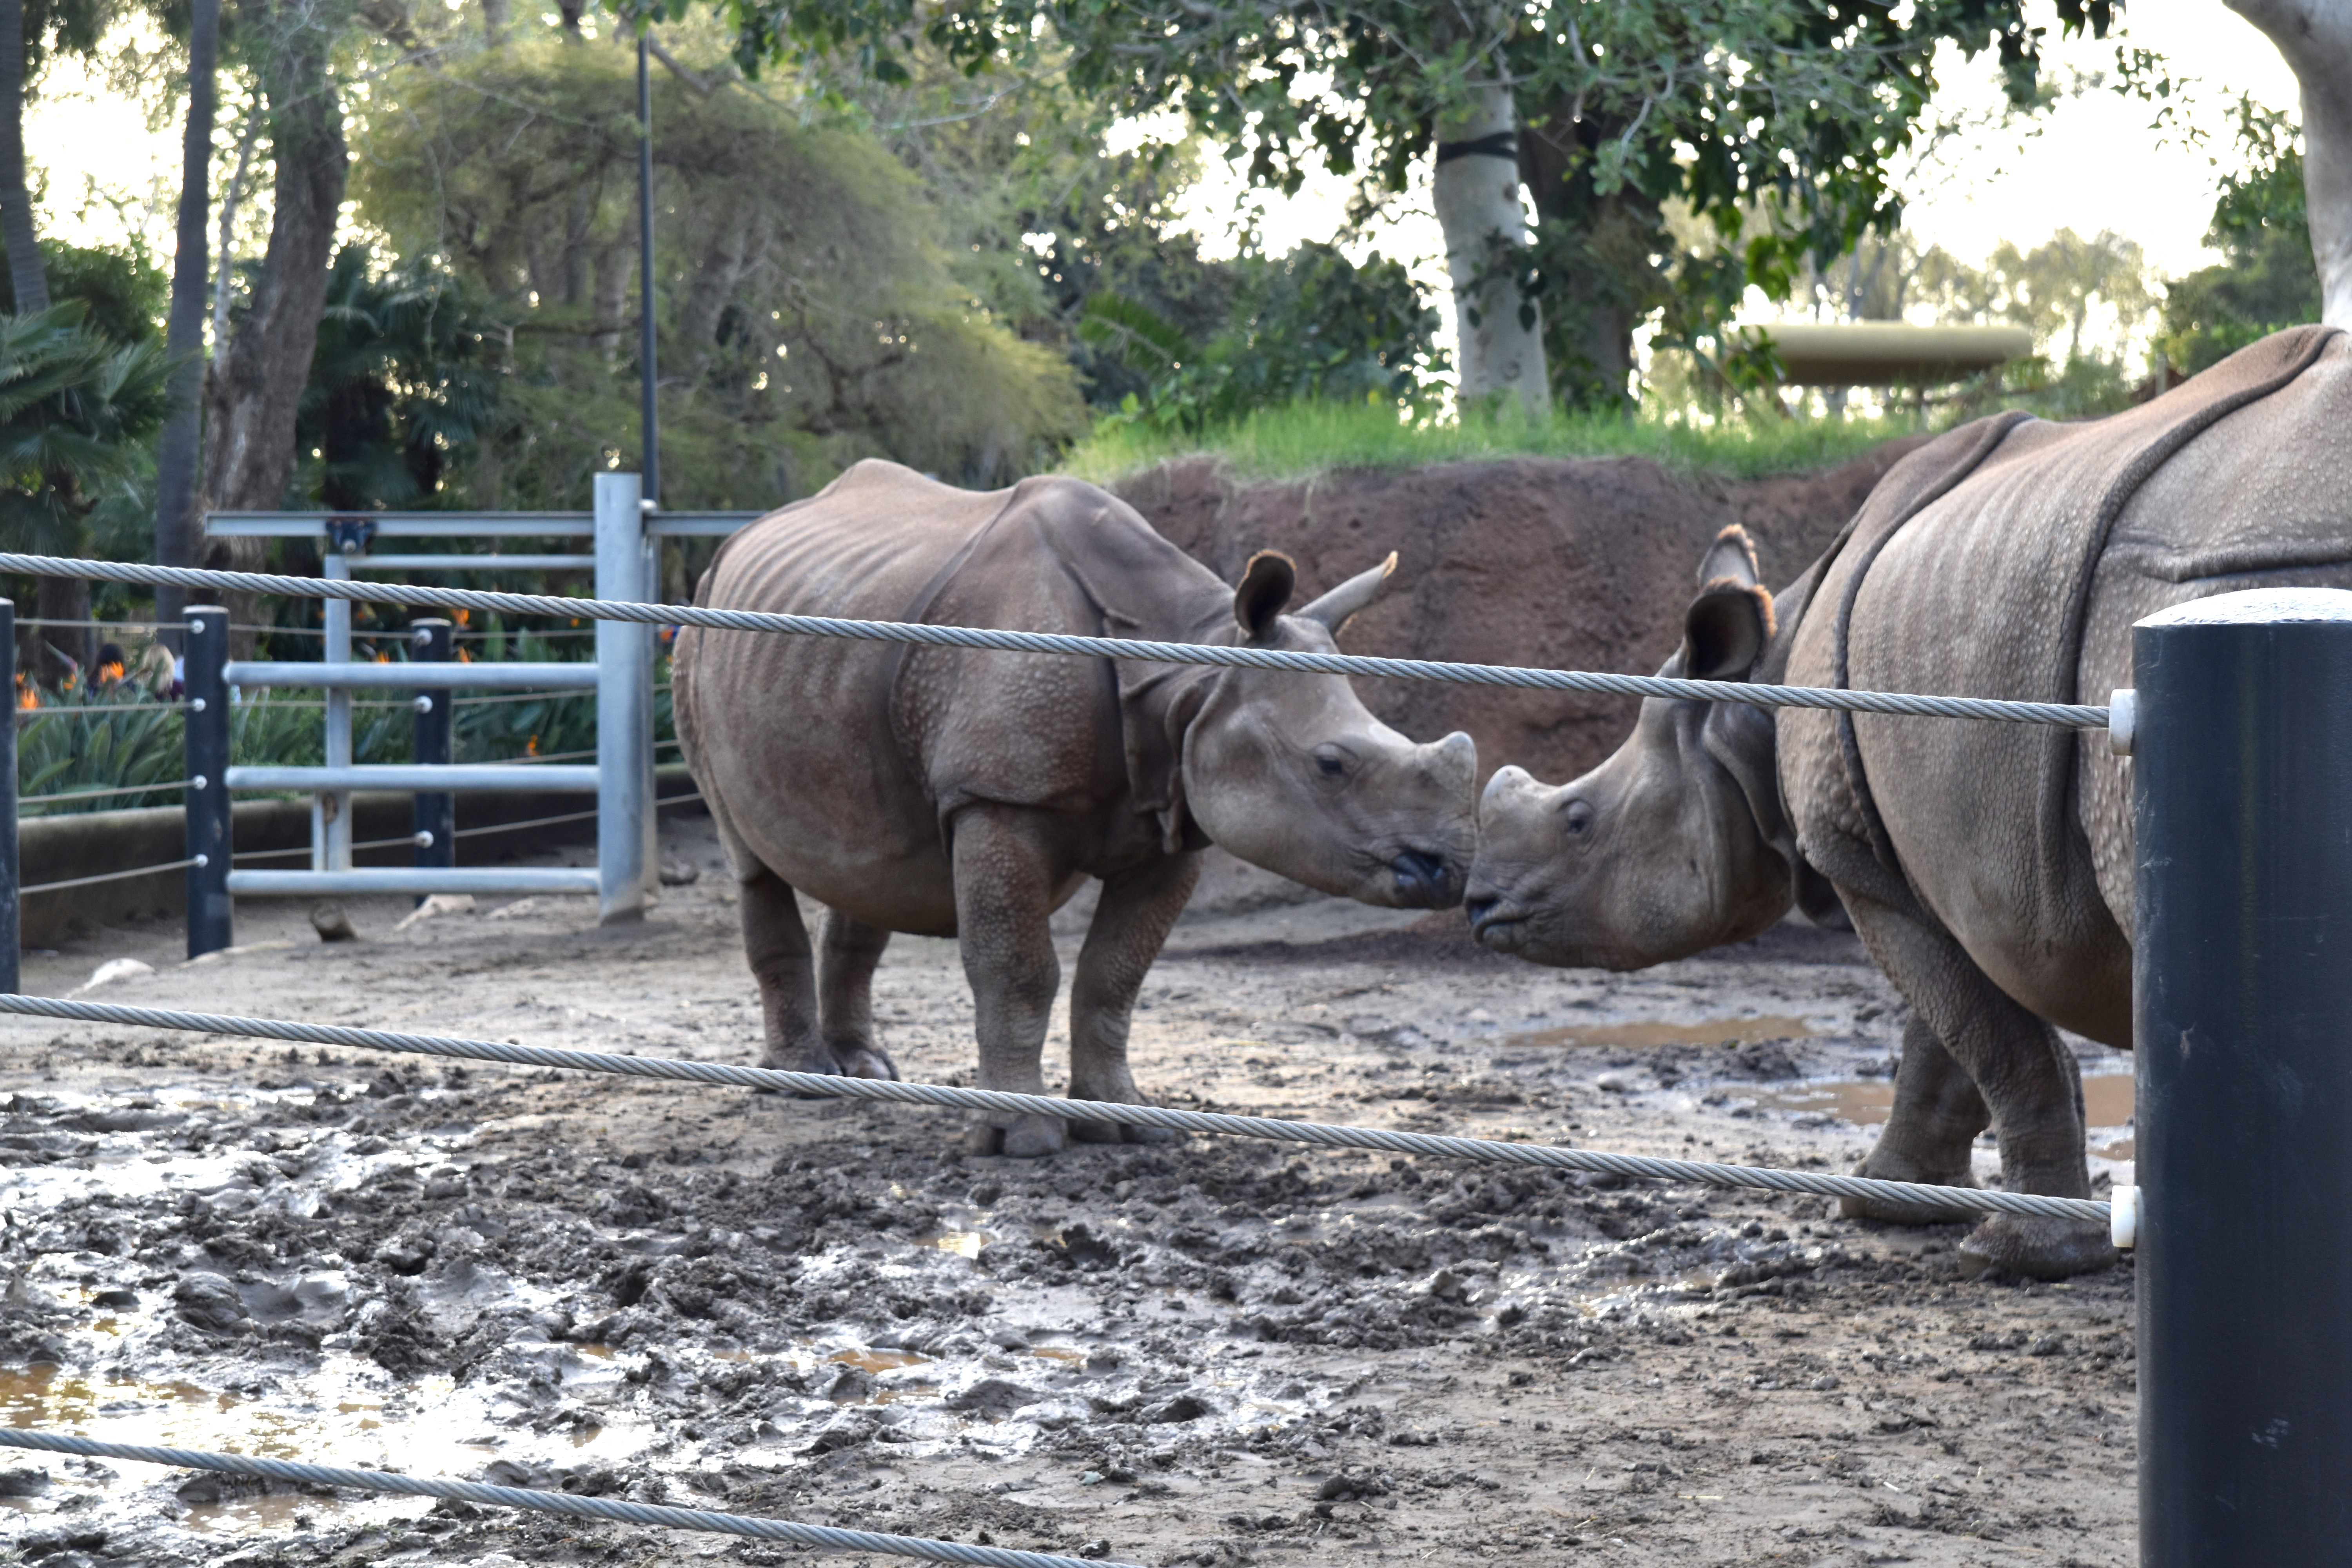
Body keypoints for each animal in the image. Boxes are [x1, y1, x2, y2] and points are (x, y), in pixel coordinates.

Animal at [677, 461, 1468, 1161]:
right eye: (1331, 765)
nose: (1451, 870)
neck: (1190, 668)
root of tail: (737, 542)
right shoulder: (1001, 800)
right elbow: (1018, 968)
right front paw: (1019, 1140)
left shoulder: (1175, 817)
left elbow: (1113, 976)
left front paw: (1126, 1124)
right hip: (696, 635)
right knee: (751, 860)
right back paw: (804, 1083)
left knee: (868, 858)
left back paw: (866, 1071)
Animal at [1468, 329, 2352, 1279]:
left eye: (1580, 821)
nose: (1478, 905)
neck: (1754, 699)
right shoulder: (1940, 859)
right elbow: (1954, 1038)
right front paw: (1891, 1202)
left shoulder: (1860, 854)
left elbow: (1989, 1034)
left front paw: (2013, 1254)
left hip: (2220, 576)